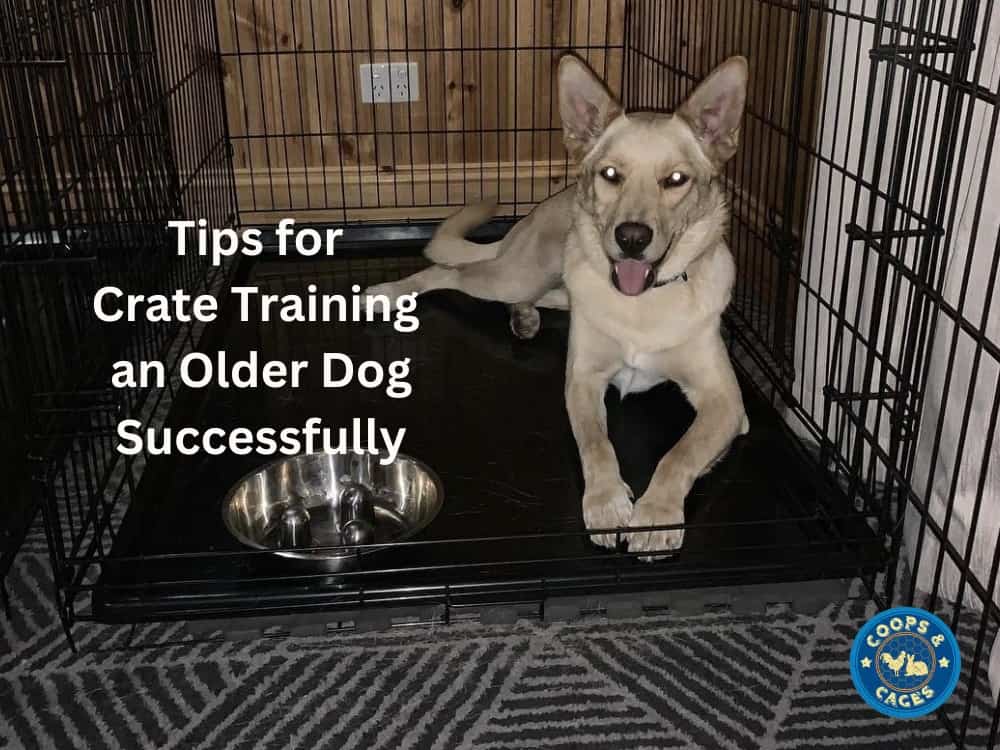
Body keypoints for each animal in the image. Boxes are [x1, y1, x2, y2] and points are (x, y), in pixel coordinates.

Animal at [368, 54, 752, 560]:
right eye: (611, 174)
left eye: (675, 180)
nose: (632, 238)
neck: (642, 305)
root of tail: (534, 214)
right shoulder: (583, 381)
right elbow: (595, 444)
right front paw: (607, 502)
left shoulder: (728, 405)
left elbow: (679, 454)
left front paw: (656, 515)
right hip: (518, 272)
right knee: (445, 272)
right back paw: (387, 294)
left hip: (550, 281)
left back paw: (523, 317)